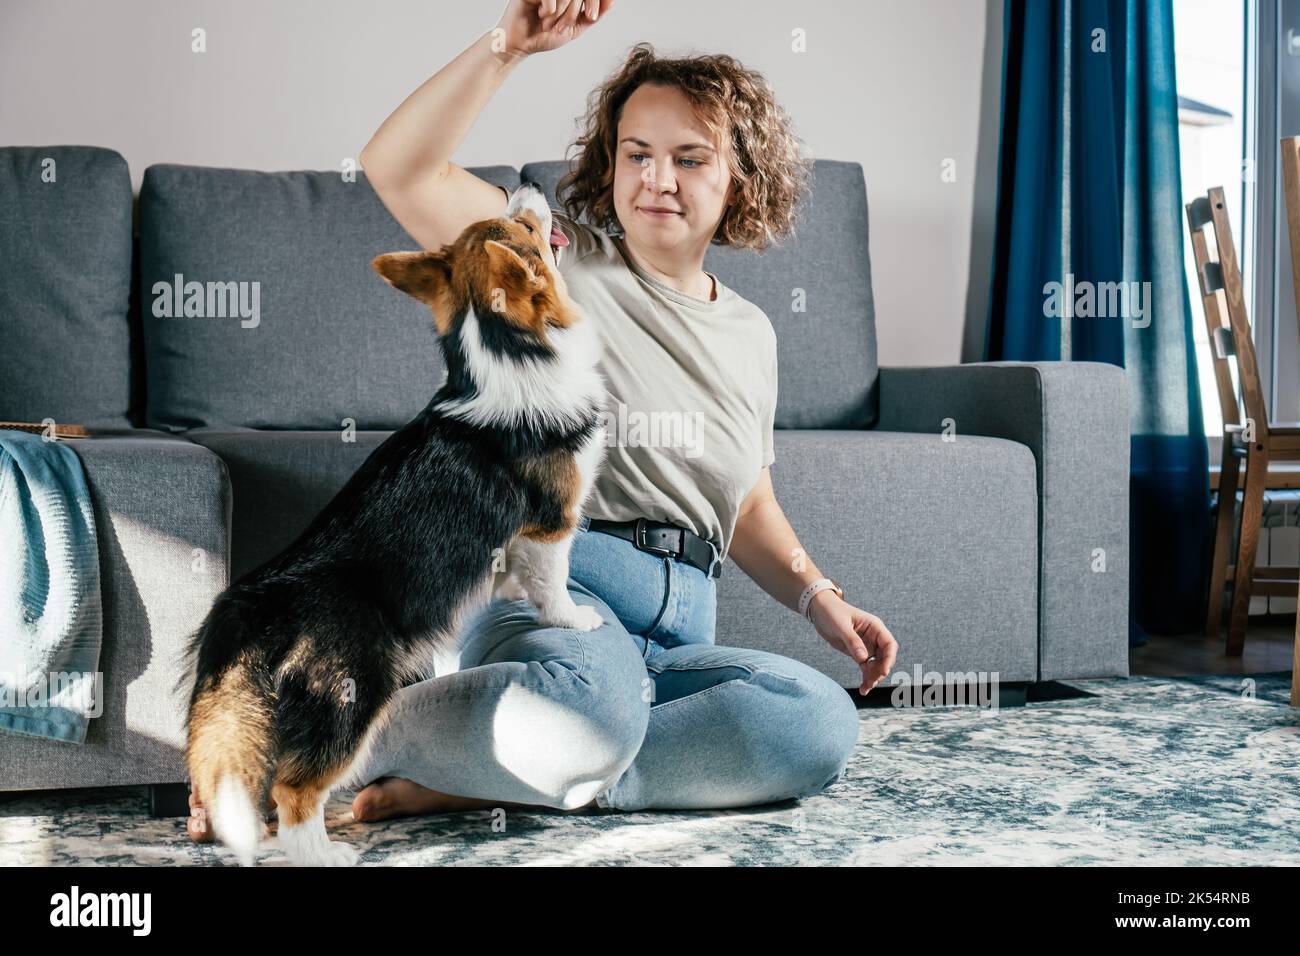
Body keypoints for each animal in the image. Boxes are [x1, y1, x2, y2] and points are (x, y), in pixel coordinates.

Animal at [180, 180, 605, 868]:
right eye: (526, 231)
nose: (528, 187)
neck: (507, 354)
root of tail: (254, 607)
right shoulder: (548, 527)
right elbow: (553, 585)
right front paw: (575, 619)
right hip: (353, 697)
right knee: (296, 789)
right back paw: (323, 853)